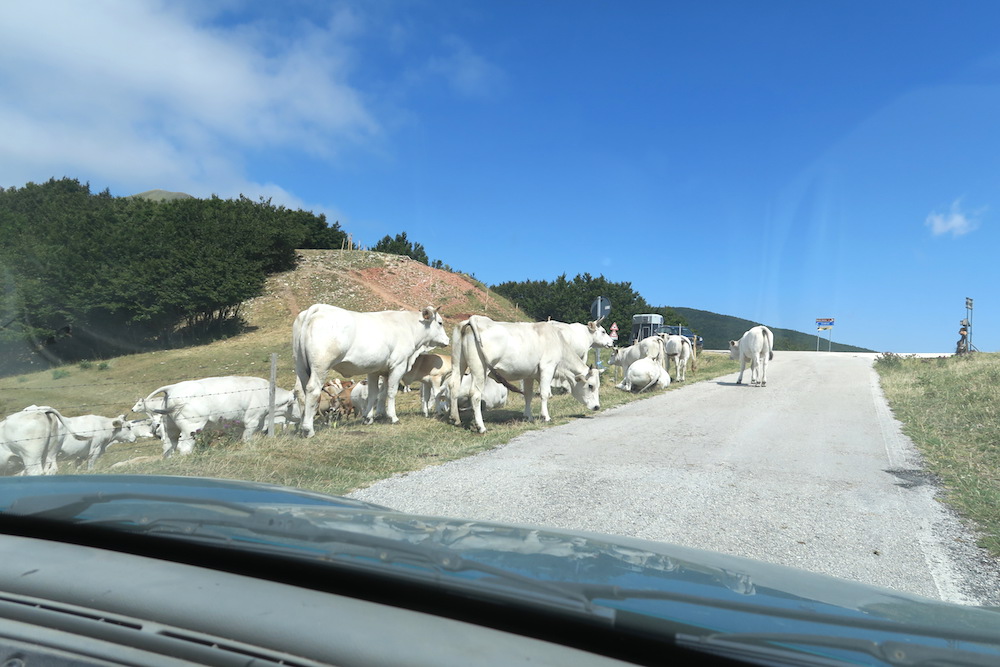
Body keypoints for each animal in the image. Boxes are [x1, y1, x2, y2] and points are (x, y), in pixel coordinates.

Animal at [135, 378, 302, 456]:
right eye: (298, 402)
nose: (300, 416)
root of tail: (173, 387)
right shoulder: (252, 420)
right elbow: (247, 439)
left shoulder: (239, 424)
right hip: (191, 426)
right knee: (185, 447)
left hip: (170, 426)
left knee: (168, 446)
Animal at [292, 306, 450, 436]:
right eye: (440, 323)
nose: (447, 340)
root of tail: (316, 308)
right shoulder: (398, 365)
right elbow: (391, 392)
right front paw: (393, 417)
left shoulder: (377, 370)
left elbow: (377, 394)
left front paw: (371, 417)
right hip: (320, 366)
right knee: (312, 390)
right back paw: (308, 429)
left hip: (300, 366)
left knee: (300, 391)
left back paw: (300, 427)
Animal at [448, 318, 600, 436]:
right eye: (590, 385)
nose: (597, 407)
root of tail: (474, 319)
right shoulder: (547, 367)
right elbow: (544, 394)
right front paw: (546, 416)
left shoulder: (529, 375)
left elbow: (528, 394)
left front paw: (528, 416)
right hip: (480, 369)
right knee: (475, 394)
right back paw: (481, 427)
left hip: (458, 363)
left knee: (453, 385)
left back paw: (455, 419)